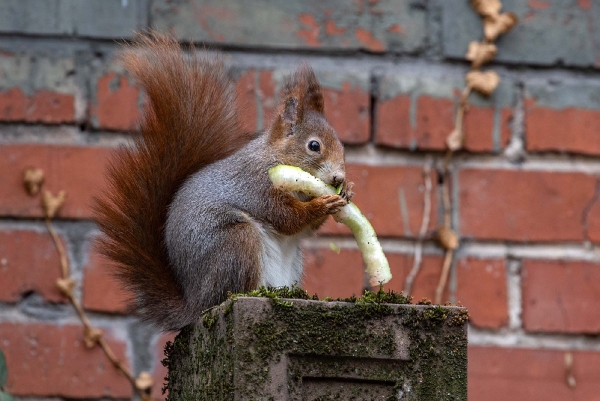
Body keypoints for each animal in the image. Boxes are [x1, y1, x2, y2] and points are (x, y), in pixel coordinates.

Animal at [94, 33, 354, 332]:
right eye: (314, 146)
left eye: (342, 147)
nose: (338, 178)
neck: (274, 158)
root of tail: (194, 304)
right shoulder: (255, 185)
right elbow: (285, 217)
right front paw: (323, 203)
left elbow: (304, 229)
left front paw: (347, 190)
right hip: (235, 242)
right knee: (231, 290)